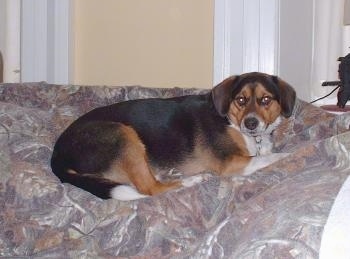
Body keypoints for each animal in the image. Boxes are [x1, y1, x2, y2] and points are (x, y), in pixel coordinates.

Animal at [50, 72, 296, 201]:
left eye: (266, 99)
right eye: (241, 100)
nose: (251, 123)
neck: (231, 122)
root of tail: (57, 155)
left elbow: (266, 153)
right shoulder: (230, 163)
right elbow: (269, 158)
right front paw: (289, 155)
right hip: (122, 134)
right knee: (149, 189)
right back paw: (191, 180)